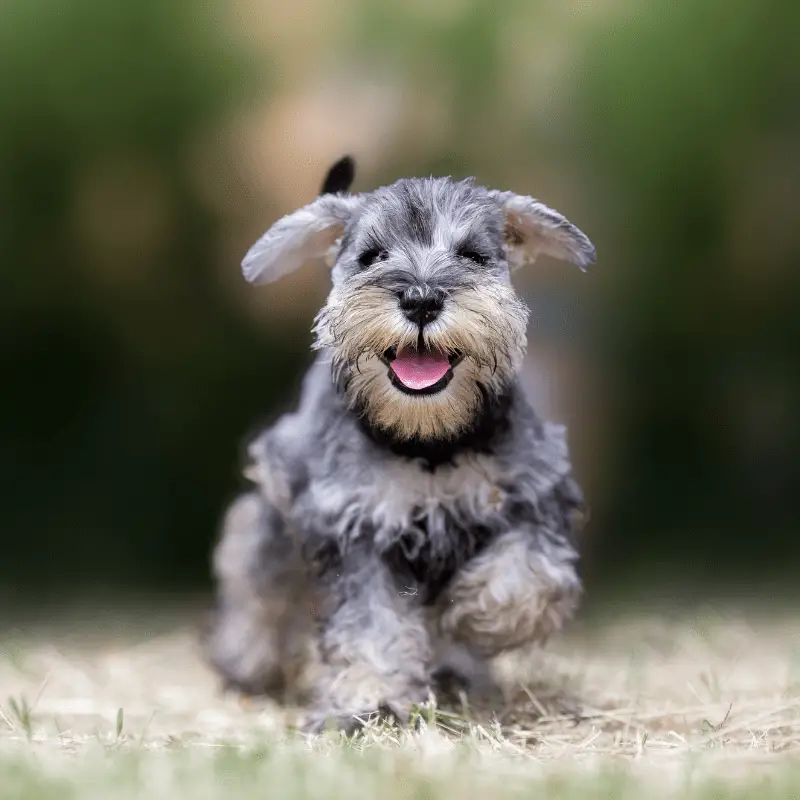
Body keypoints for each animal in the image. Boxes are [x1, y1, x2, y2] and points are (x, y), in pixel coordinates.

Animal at [203, 155, 596, 732]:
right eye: (372, 256)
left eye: (473, 255)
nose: (421, 298)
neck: (427, 441)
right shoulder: (355, 527)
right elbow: (371, 626)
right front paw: (371, 701)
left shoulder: (535, 497)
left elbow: (529, 576)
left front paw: (472, 617)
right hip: (272, 523)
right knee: (256, 583)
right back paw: (244, 662)